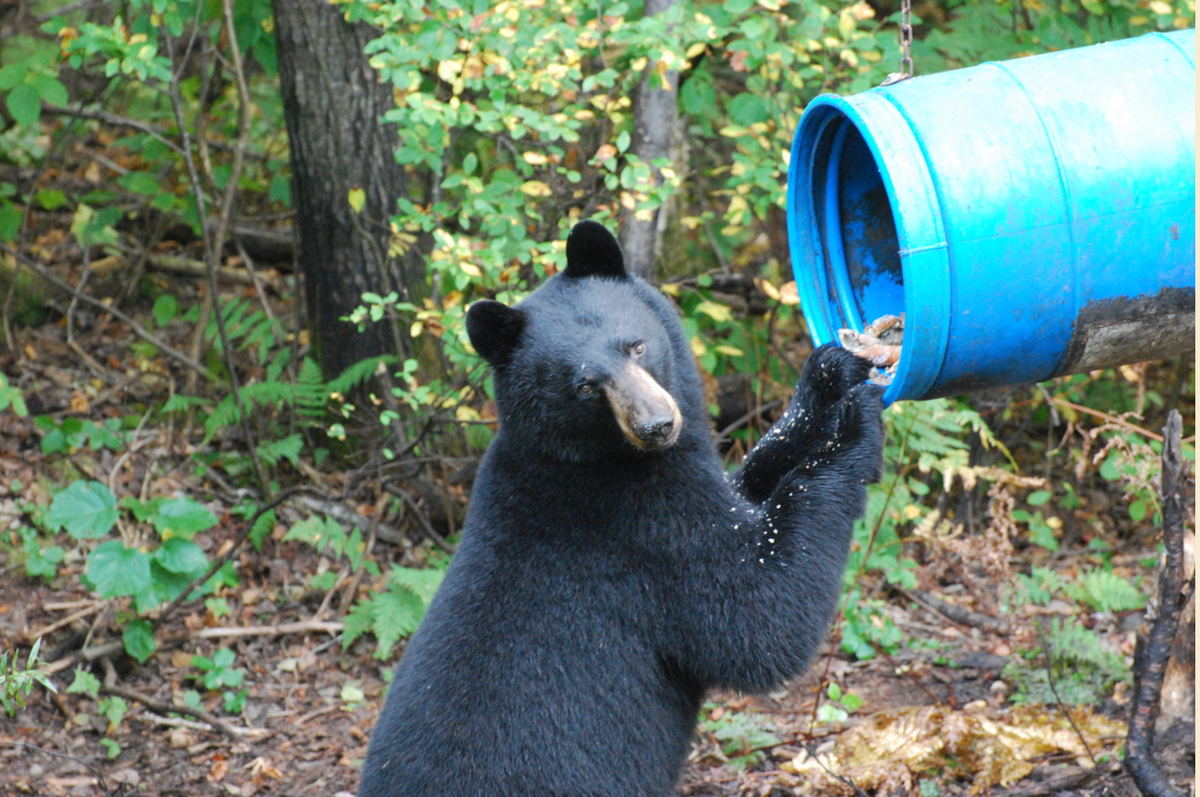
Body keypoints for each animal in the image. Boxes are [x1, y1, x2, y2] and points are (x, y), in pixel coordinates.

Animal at [358, 220, 885, 797]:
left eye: (636, 344)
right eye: (586, 385)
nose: (657, 424)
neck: (595, 458)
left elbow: (750, 483)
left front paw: (829, 378)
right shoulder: (643, 527)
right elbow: (758, 615)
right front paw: (853, 428)